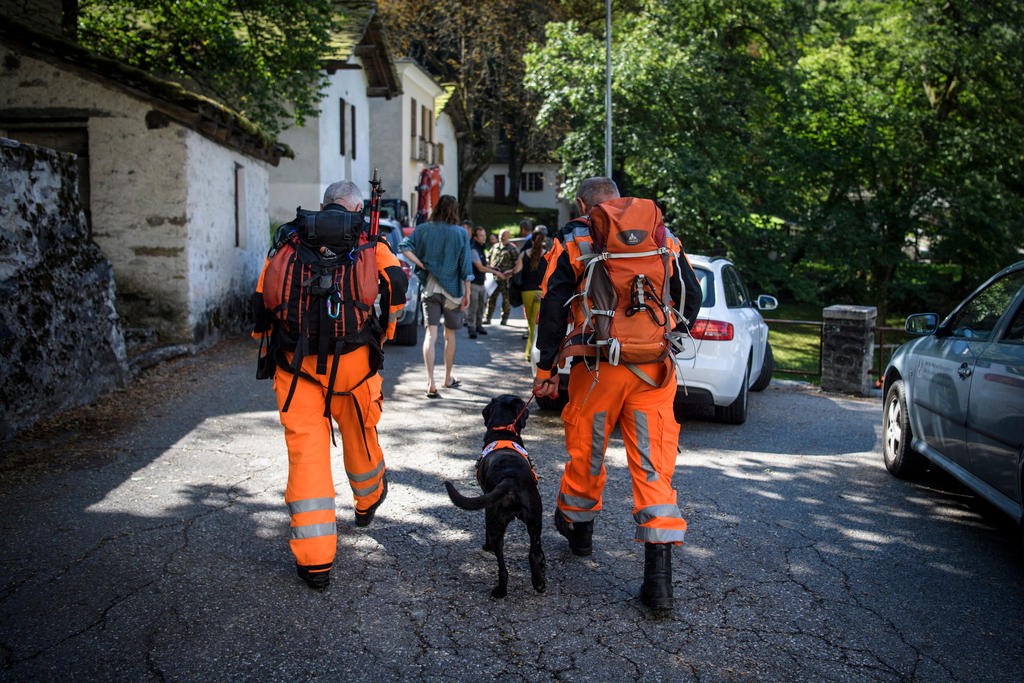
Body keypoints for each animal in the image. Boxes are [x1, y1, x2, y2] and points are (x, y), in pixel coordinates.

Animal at [444, 395, 548, 598]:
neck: (502, 431)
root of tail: (510, 478)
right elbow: (539, 552)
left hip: (496, 521)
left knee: (502, 565)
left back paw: (500, 590)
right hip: (535, 519)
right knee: (533, 553)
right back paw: (538, 582)